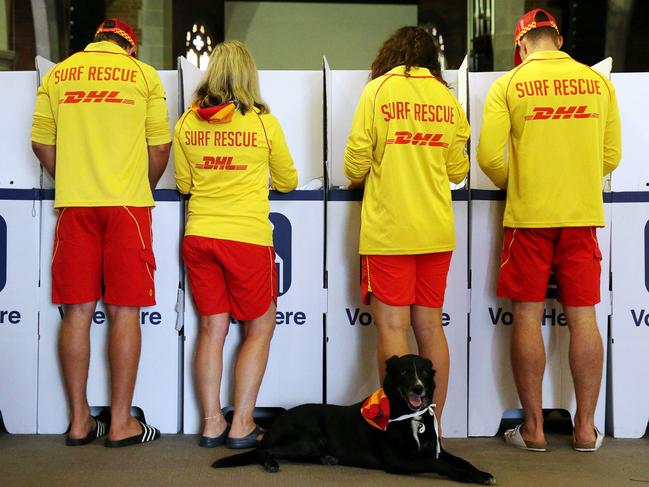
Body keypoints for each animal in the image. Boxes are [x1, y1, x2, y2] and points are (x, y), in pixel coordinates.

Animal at [213, 354, 492, 484]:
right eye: (404, 372)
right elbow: (439, 464)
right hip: (308, 438)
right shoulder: (398, 461)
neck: (409, 415)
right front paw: (468, 477)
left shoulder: (434, 449)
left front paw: (481, 473)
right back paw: (271, 462)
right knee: (264, 449)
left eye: (424, 372)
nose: (418, 389)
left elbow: (460, 460)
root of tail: (279, 419)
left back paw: (327, 458)